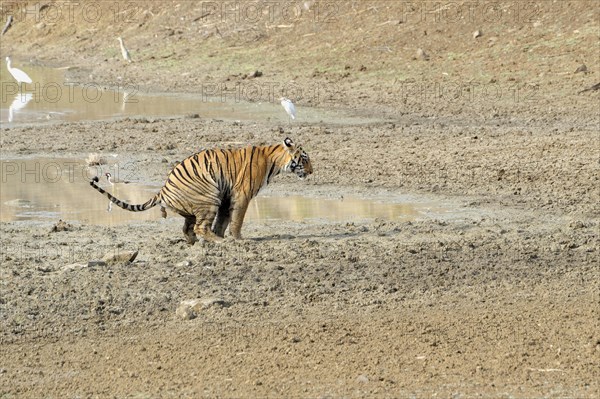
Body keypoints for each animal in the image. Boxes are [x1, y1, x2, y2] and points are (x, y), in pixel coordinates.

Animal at [90, 138, 314, 244]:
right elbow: (237, 219)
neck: (274, 160)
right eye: (304, 159)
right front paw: (237, 239)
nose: (312, 171)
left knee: (188, 228)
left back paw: (197, 241)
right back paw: (216, 241)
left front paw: (223, 234)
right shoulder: (241, 195)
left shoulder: (226, 197)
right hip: (208, 197)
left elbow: (223, 220)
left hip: (201, 203)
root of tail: (162, 189)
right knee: (199, 227)